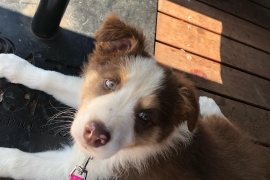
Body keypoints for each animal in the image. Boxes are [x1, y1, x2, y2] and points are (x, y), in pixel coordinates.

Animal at [0, 14, 268, 180]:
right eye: (110, 83)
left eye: (145, 117)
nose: (95, 135)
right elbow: (55, 78)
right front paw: (12, 65)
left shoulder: (80, 170)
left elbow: (20, 161)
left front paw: (2, 158)